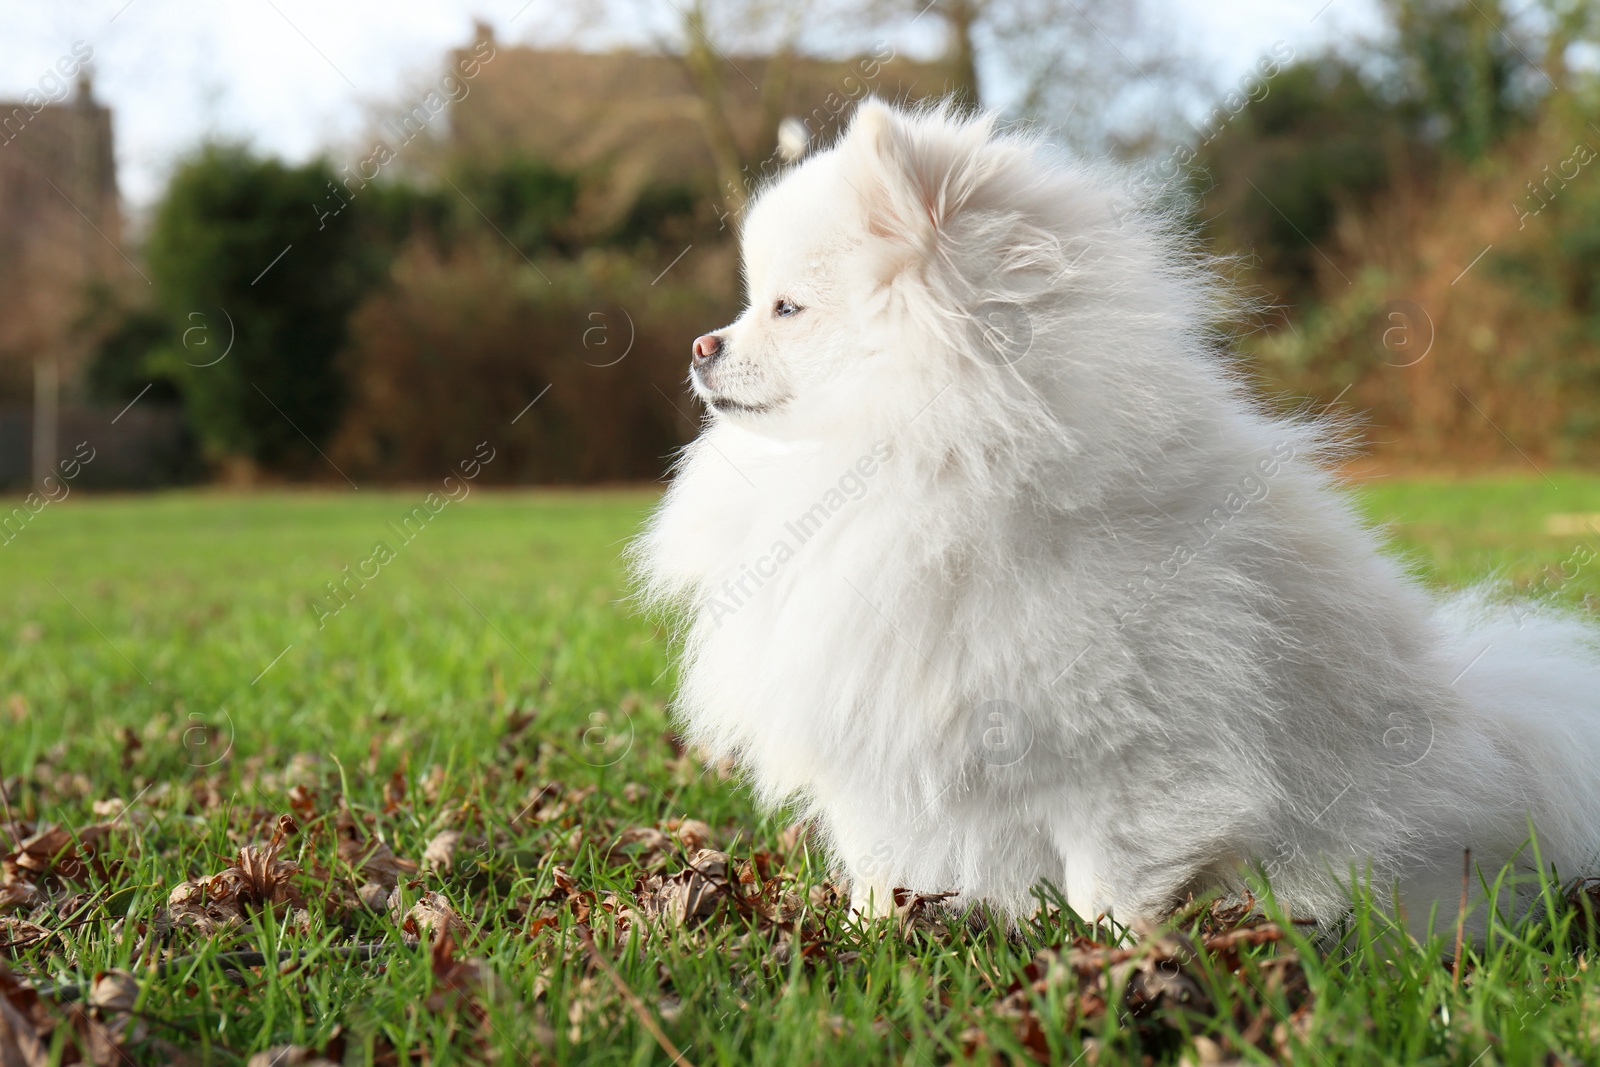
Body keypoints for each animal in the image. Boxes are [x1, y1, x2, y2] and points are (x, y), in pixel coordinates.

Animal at [633, 102, 1600, 934]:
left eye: (787, 307)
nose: (702, 346)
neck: (928, 459)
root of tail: (1496, 726)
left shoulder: (1136, 760)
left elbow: (1113, 876)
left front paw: (1112, 959)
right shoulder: (877, 744)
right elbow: (879, 860)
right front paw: (870, 935)